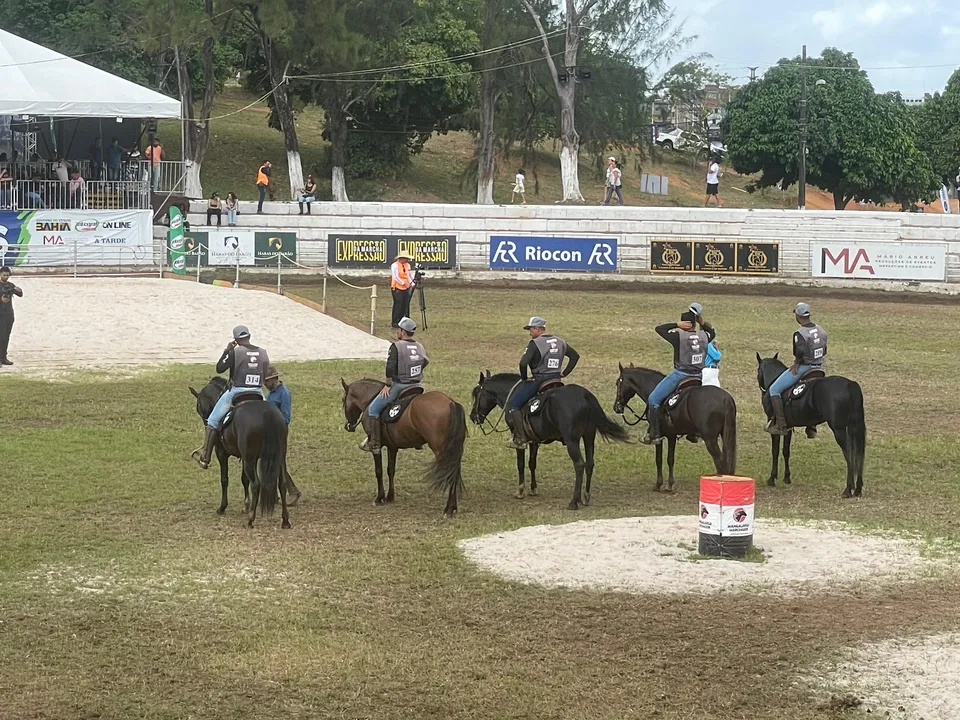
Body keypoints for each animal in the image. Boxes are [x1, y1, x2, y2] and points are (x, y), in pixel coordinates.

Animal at [188, 376, 290, 528]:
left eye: (198, 406)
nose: (206, 421)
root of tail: (267, 414)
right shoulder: (247, 457)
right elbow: (244, 479)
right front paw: (246, 505)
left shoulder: (222, 453)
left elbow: (224, 479)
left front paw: (222, 507)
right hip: (278, 457)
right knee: (282, 483)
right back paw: (285, 520)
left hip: (249, 459)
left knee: (256, 484)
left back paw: (251, 519)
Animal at [342, 376, 468, 516]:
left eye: (343, 400)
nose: (348, 426)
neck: (370, 400)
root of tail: (451, 402)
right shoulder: (392, 447)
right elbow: (390, 470)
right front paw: (390, 497)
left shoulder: (376, 448)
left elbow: (379, 471)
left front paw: (379, 498)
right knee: (454, 471)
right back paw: (452, 507)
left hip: (441, 450)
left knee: (449, 472)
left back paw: (449, 509)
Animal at [470, 372, 632, 512]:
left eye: (476, 394)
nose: (473, 416)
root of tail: (584, 395)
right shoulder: (534, 440)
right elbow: (532, 463)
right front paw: (533, 489)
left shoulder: (519, 439)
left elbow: (521, 464)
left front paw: (520, 490)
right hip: (588, 436)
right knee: (590, 463)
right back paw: (586, 497)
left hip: (572, 440)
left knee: (579, 464)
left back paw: (574, 501)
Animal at [612, 362, 740, 492]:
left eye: (618, 383)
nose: (616, 407)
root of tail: (725, 398)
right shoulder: (672, 435)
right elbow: (670, 459)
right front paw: (669, 484)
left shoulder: (660, 436)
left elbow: (659, 459)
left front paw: (658, 484)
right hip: (724, 434)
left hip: (710, 439)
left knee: (719, 461)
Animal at [760, 352, 868, 498]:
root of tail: (850, 385)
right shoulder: (787, 428)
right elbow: (786, 451)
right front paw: (787, 478)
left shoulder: (775, 428)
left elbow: (775, 451)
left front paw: (772, 479)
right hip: (854, 428)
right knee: (858, 455)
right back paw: (857, 489)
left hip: (839, 430)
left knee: (849, 455)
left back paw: (848, 490)